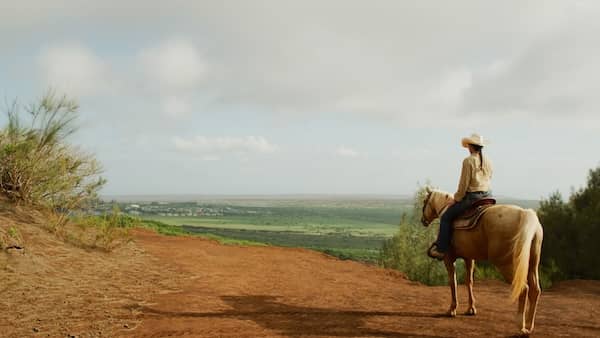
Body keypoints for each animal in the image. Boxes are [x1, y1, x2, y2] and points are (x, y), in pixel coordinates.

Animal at [420, 187, 548, 336]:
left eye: (425, 201)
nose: (423, 220)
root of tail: (523, 213)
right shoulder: (469, 258)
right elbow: (469, 281)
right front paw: (471, 309)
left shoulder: (448, 258)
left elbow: (453, 282)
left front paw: (452, 310)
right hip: (533, 264)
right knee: (535, 290)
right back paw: (529, 326)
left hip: (505, 264)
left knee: (524, 288)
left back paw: (520, 326)